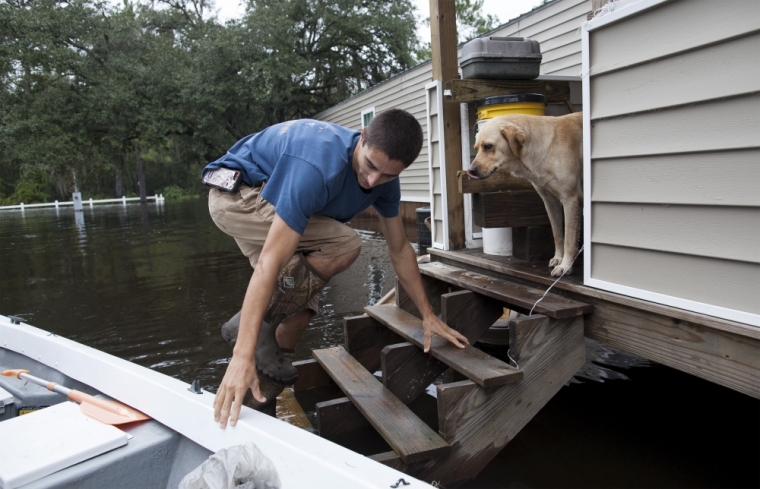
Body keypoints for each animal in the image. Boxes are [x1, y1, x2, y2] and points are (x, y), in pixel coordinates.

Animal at [470, 112, 580, 276]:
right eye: (476, 148)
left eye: (488, 146)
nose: (470, 171)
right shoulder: (550, 200)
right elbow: (558, 233)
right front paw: (559, 258)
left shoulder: (570, 199)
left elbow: (569, 239)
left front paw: (565, 265)